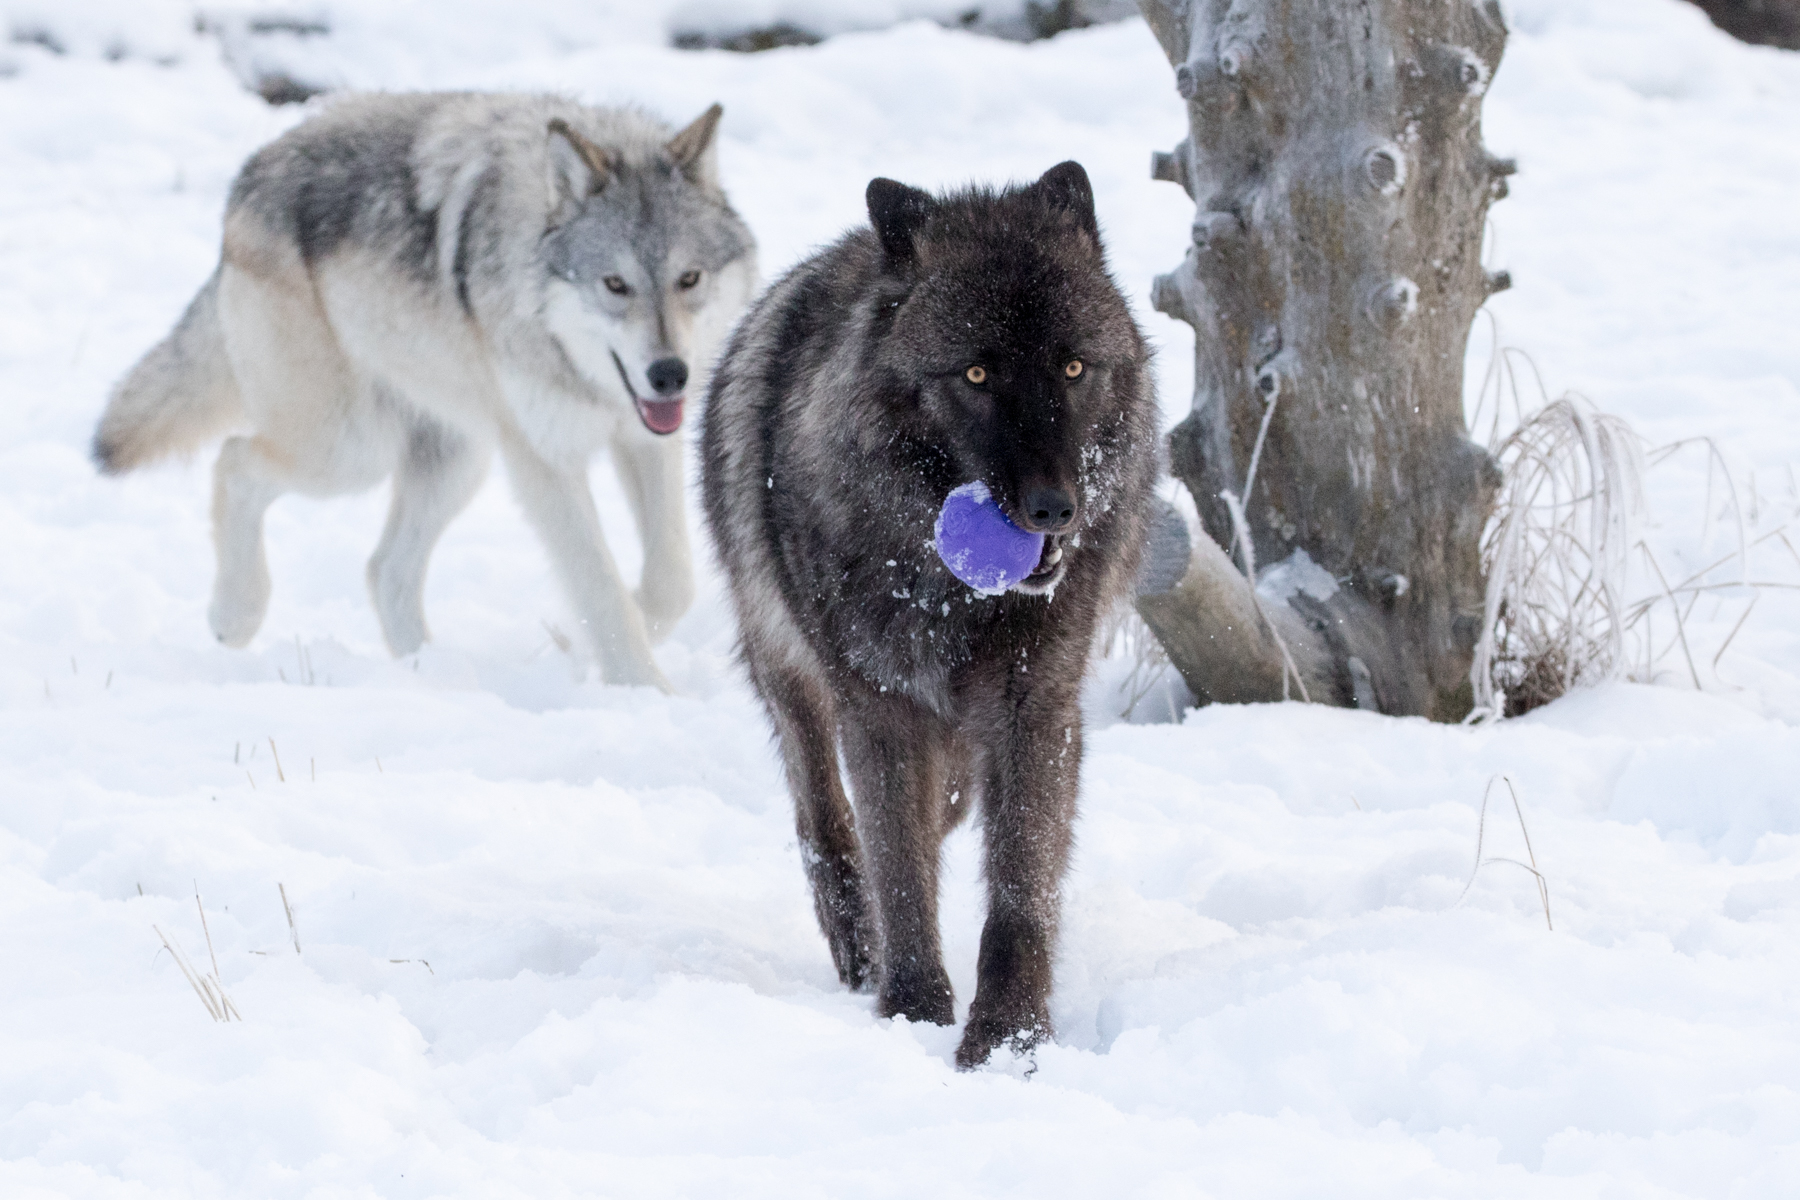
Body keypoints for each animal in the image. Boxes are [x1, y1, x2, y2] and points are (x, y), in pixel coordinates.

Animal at [92, 93, 757, 689]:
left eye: (689, 279)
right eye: (615, 285)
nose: (670, 374)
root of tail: (247, 179)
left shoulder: (645, 439)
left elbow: (671, 580)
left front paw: (592, 636)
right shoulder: (544, 461)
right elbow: (600, 583)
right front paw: (642, 689)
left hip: (456, 461)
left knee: (384, 569)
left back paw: (427, 678)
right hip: (350, 451)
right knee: (234, 461)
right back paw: (236, 616)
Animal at [701, 163, 1157, 1067]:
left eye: (1074, 367)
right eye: (975, 376)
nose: (1053, 509)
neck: (953, 594)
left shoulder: (1036, 708)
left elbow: (1019, 890)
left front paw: (1009, 1038)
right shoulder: (880, 709)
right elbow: (900, 869)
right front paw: (913, 1009)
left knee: (948, 806)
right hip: (788, 672)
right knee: (823, 814)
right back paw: (856, 945)